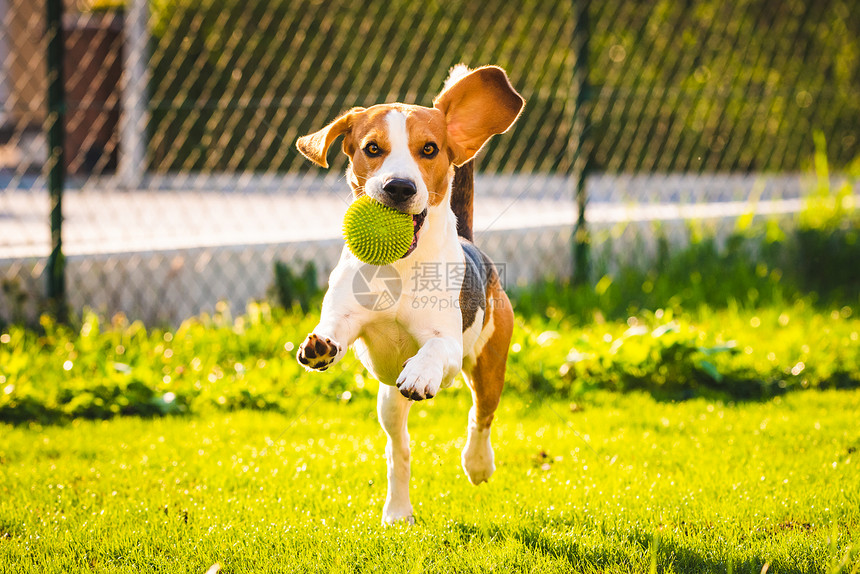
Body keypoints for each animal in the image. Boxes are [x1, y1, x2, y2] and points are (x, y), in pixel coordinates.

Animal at [296, 65, 524, 524]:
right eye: (372, 148)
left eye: (430, 149)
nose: (399, 187)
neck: (398, 267)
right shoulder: (347, 318)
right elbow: (334, 330)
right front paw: (320, 345)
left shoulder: (448, 343)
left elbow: (434, 350)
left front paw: (420, 372)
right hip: (387, 401)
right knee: (398, 451)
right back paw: (398, 511)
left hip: (489, 365)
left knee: (481, 415)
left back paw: (478, 463)